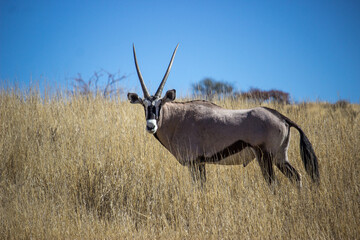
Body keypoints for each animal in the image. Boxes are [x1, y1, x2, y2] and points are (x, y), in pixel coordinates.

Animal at [128, 45, 320, 188]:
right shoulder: (200, 163)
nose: (151, 126)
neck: (178, 119)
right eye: (144, 105)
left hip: (265, 156)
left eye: (159, 105)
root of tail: (281, 117)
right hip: (280, 157)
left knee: (274, 184)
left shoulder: (195, 162)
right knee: (297, 177)